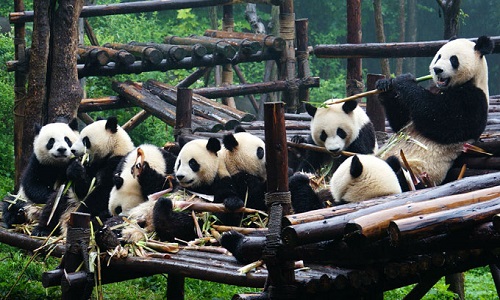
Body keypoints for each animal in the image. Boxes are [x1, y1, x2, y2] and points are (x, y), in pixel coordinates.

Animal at [376, 36, 494, 186]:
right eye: (439, 56)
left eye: (453, 59)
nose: (437, 69)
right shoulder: (434, 87)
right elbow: (401, 122)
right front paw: (385, 85)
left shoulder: (473, 99)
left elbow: (438, 119)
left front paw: (405, 79)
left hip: (417, 173)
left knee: (394, 169)